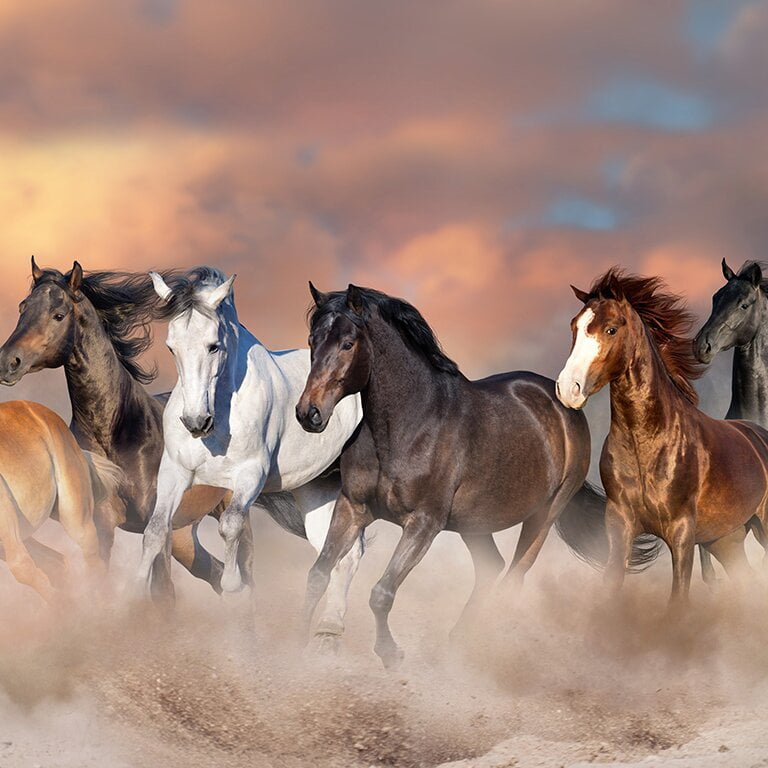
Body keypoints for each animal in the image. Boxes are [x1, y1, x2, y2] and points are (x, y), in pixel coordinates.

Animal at [138, 268, 365, 645]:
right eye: (171, 347)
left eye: (213, 345)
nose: (195, 422)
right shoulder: (175, 472)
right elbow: (155, 530)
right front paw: (132, 596)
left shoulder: (250, 476)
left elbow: (231, 525)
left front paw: (232, 587)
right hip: (317, 492)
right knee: (339, 554)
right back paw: (326, 636)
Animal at [295, 282, 659, 669]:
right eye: (313, 340)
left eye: (348, 343)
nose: (309, 414)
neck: (407, 426)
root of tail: (562, 402)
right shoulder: (353, 508)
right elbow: (317, 575)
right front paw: (296, 648)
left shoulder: (423, 523)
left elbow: (382, 592)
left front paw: (391, 654)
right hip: (475, 524)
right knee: (490, 569)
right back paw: (456, 645)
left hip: (542, 517)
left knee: (512, 577)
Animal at [556, 268, 768, 605]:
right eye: (575, 327)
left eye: (611, 329)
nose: (568, 389)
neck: (648, 442)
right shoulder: (619, 524)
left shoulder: (682, 533)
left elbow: (678, 599)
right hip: (725, 540)